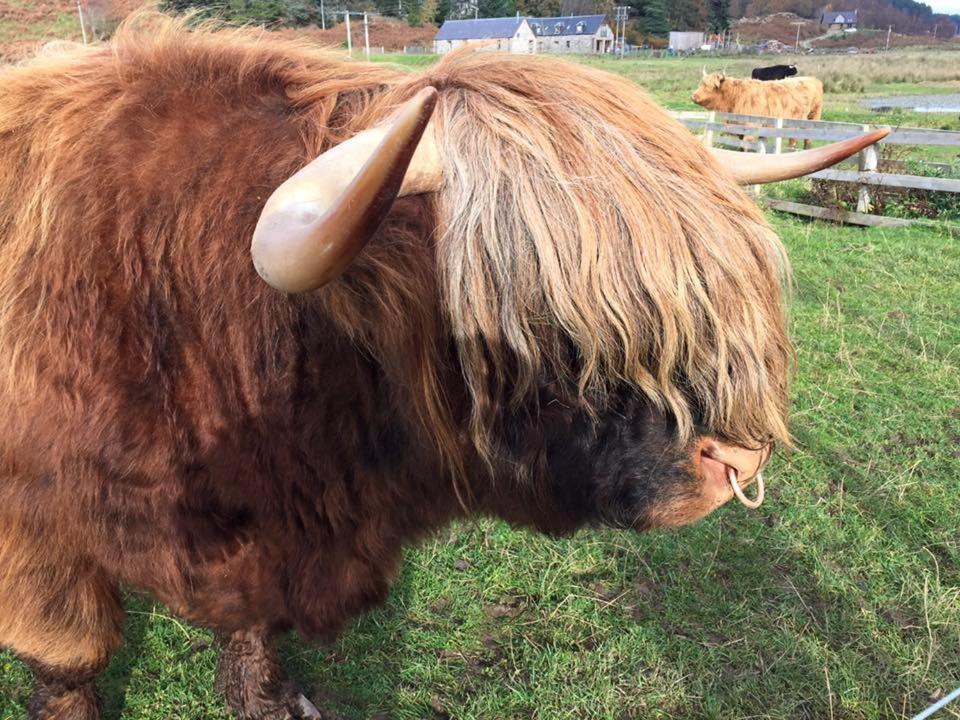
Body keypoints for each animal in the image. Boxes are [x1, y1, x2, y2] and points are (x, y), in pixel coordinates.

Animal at [0, 12, 884, 720]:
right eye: (544, 318)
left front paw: (271, 698)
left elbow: (249, 627)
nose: (734, 462)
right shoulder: (38, 531)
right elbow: (70, 651)